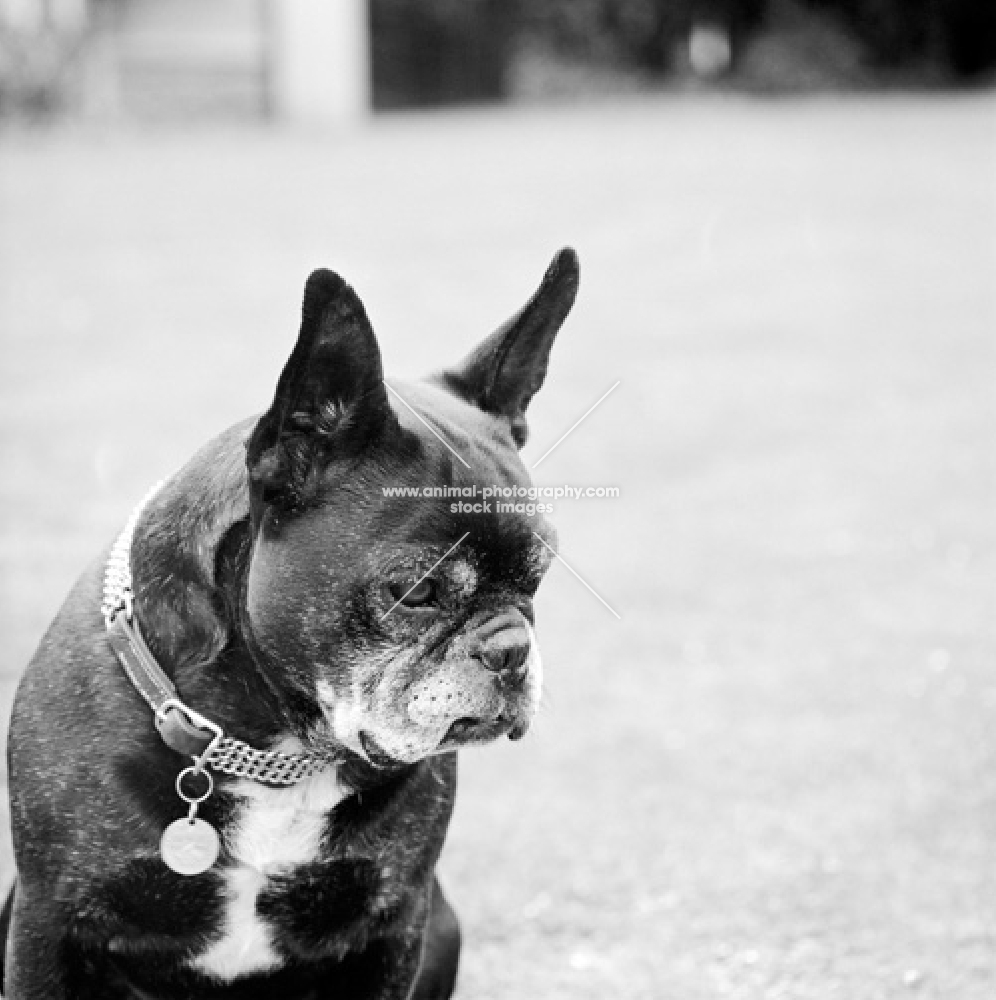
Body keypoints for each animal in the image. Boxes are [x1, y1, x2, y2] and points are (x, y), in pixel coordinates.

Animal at [0, 246, 580, 996]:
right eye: (417, 590)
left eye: (538, 577)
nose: (510, 647)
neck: (275, 750)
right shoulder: (47, 926)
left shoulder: (397, 923)